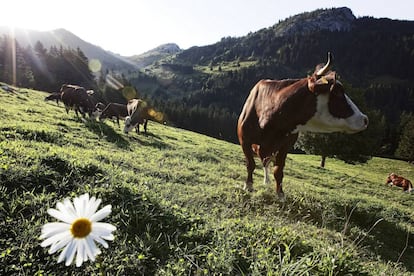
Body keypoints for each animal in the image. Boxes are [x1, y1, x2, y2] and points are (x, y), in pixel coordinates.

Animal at [236, 52, 368, 201]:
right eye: (338, 92)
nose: (365, 119)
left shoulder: (285, 146)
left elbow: (278, 170)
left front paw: (280, 194)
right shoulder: (244, 140)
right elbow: (250, 164)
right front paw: (248, 186)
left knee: (267, 162)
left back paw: (267, 181)